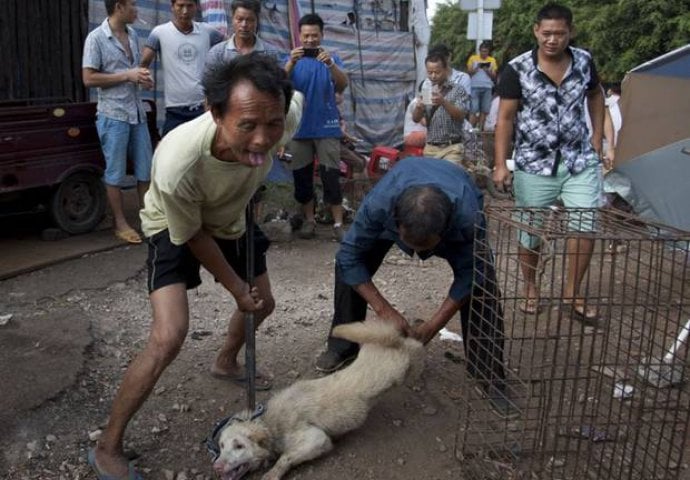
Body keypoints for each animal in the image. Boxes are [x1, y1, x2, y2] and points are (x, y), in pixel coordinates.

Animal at [212, 318, 422, 480]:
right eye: (221, 446)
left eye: (239, 446)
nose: (217, 467)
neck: (270, 424)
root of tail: (392, 342)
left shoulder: (317, 439)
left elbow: (286, 456)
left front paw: (273, 473)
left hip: (399, 370)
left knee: (415, 346)